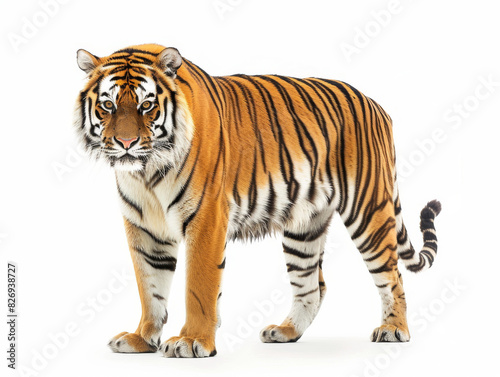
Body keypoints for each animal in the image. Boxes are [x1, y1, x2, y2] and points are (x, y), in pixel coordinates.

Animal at [73, 43, 442, 356]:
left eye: (146, 105)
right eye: (108, 105)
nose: (126, 143)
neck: (145, 172)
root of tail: (376, 105)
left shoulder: (206, 219)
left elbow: (199, 287)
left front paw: (192, 341)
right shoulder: (144, 227)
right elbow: (149, 288)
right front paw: (141, 338)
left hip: (368, 210)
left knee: (392, 276)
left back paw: (393, 329)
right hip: (304, 225)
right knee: (313, 285)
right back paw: (286, 331)